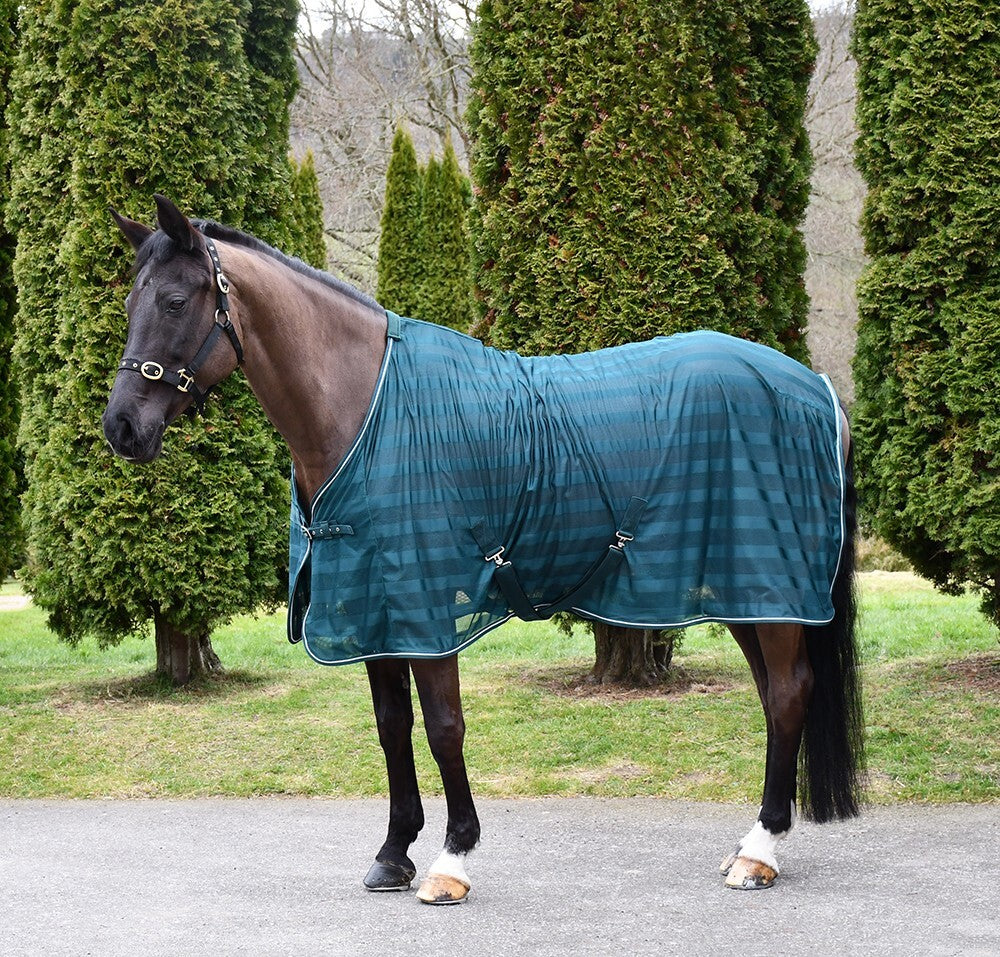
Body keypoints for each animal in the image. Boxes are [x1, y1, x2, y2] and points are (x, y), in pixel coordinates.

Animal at [102, 195, 864, 903]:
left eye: (174, 300)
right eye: (131, 300)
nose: (122, 428)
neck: (366, 408)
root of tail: (816, 389)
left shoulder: (428, 607)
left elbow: (444, 727)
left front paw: (451, 859)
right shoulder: (377, 609)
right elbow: (392, 726)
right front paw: (393, 853)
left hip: (771, 587)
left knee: (788, 694)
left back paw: (758, 852)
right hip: (748, 591)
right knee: (776, 696)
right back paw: (754, 842)